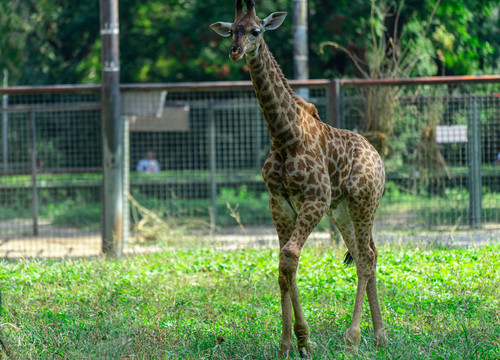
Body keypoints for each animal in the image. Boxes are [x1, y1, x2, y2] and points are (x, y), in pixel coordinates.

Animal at [211, 0, 386, 356]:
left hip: (363, 202)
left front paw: (304, 340)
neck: (283, 136)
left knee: (365, 258)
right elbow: (283, 266)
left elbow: (290, 258)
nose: (236, 51)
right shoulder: (279, 202)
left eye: (256, 30)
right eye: (232, 30)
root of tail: (378, 158)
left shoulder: (314, 199)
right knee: (368, 253)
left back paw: (353, 339)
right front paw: (288, 344)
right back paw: (380, 337)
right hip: (342, 210)